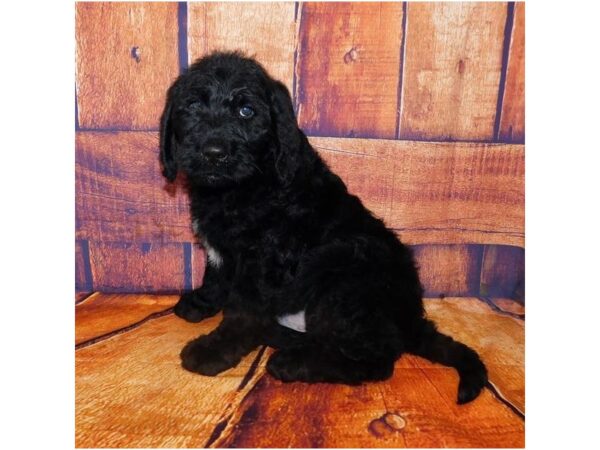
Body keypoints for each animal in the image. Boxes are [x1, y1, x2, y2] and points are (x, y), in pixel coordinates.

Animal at [159, 51, 488, 404]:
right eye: (192, 106)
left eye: (246, 111)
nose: (214, 152)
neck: (239, 187)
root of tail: (411, 319)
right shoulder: (222, 251)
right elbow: (216, 277)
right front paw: (201, 303)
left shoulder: (262, 261)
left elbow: (242, 311)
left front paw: (214, 351)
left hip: (343, 271)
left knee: (376, 360)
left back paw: (293, 363)